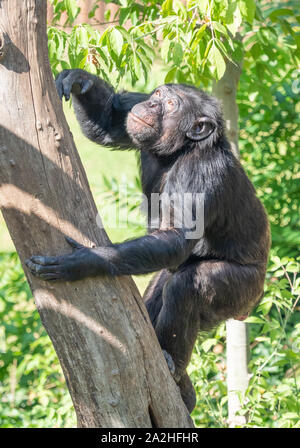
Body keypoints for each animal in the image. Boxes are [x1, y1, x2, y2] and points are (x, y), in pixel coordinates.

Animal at [25, 69, 270, 412]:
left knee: (186, 287)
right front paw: (79, 81)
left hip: (243, 291)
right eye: (157, 94)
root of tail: (250, 306)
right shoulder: (132, 120)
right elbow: (113, 122)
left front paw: (84, 262)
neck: (179, 150)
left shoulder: (200, 173)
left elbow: (177, 236)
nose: (152, 104)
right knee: (159, 290)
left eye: (170, 104)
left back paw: (173, 364)